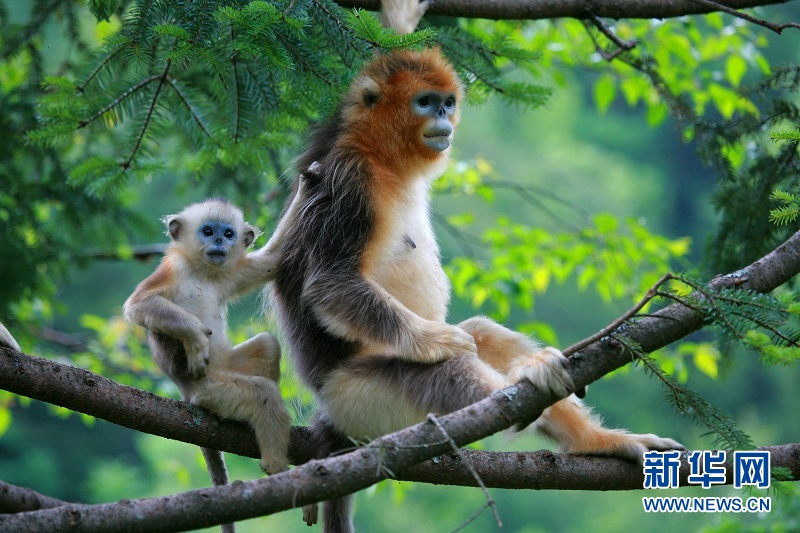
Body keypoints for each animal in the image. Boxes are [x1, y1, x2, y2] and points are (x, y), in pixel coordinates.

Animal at [126, 182, 308, 528]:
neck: (204, 273)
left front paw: (310, 180)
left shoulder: (230, 273)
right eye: (207, 231)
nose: (219, 243)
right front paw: (195, 337)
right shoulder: (173, 269)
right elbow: (137, 305)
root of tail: (187, 392)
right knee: (261, 393)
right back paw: (276, 468)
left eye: (228, 233)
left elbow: (272, 260)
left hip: (227, 367)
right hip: (212, 391)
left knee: (268, 345)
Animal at [270, 2, 680, 528]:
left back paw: (587, 431)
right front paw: (434, 340)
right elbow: (329, 283)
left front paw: (402, 17)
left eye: (447, 102)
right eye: (425, 102)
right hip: (360, 398)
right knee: (447, 373)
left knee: (484, 333)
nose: (444, 117)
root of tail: (327, 406)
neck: (380, 159)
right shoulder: (346, 183)